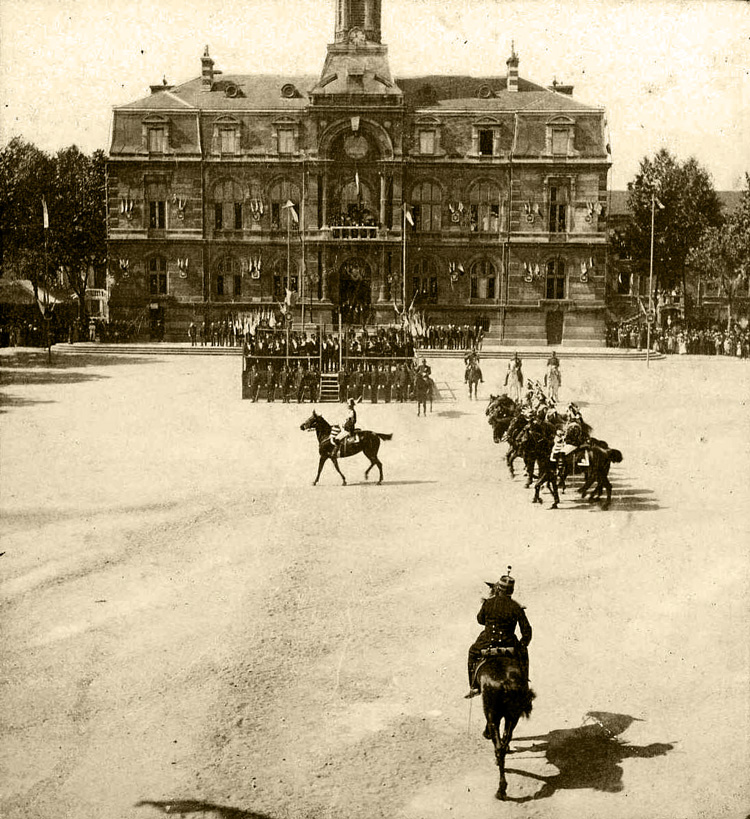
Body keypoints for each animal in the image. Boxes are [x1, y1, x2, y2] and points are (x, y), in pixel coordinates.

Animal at [478, 652, 536, 796]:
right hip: (513, 716)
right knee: (506, 739)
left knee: (499, 747)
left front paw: (486, 733)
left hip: (493, 714)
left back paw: (501, 789)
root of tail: (505, 682)